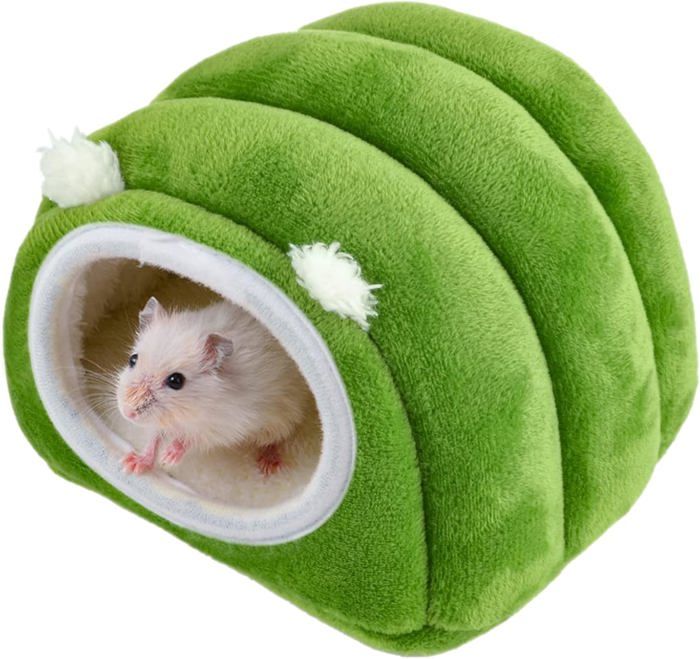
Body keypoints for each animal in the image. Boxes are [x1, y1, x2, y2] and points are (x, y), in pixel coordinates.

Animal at [116, 296, 312, 476]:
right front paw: (131, 465)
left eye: (176, 380)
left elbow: (191, 440)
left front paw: (168, 458)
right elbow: (154, 440)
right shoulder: (158, 423)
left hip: (283, 416)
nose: (127, 413)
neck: (186, 414)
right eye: (132, 359)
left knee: (276, 439)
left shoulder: (226, 426)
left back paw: (268, 465)